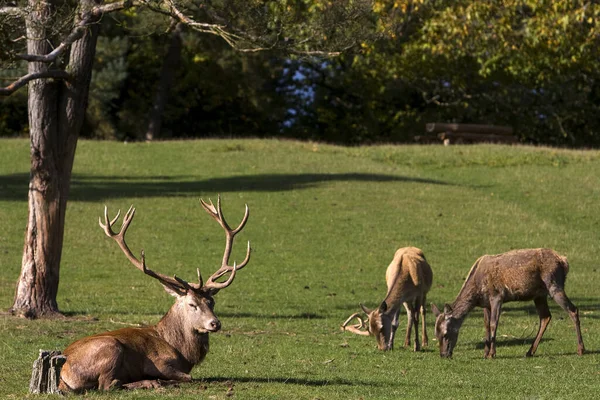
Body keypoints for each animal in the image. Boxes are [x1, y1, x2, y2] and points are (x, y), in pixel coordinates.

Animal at [58, 195, 251, 392]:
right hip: (111, 347)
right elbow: (188, 377)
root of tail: (62, 376)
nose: (215, 323)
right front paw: (160, 380)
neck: (182, 352)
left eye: (212, 302)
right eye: (192, 304)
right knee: (108, 384)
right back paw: (151, 382)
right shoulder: (158, 362)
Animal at [432, 248, 584, 358]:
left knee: (573, 310)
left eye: (445, 333)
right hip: (539, 295)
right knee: (545, 316)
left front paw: (492, 353)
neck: (476, 294)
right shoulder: (485, 304)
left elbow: (493, 324)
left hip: (554, 284)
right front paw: (485, 352)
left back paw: (580, 349)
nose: (443, 355)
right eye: (436, 334)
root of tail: (564, 261)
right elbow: (486, 325)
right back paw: (530, 351)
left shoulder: (497, 296)